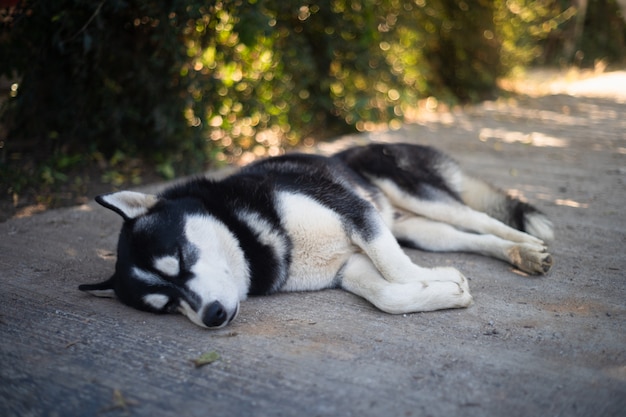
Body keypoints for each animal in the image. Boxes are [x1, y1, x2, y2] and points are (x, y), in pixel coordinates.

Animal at [78, 143, 552, 328]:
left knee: (483, 219)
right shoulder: (349, 264)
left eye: (179, 256)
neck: (254, 237)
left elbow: (396, 269)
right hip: (415, 227)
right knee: (464, 236)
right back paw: (517, 255)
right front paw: (443, 287)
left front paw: (438, 279)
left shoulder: (356, 213)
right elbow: (388, 294)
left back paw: (528, 244)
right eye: (165, 305)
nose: (212, 315)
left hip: (409, 191)